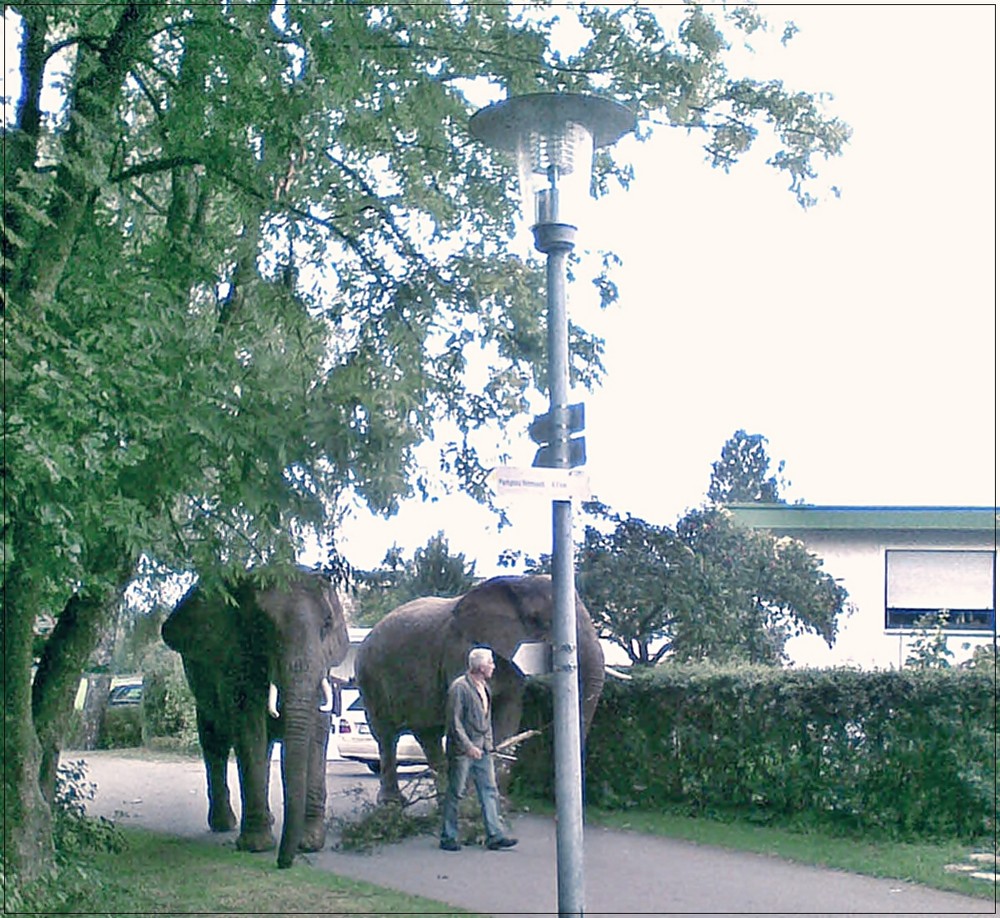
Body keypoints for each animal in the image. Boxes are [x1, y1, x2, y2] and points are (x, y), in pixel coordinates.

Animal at [162, 560, 350, 868]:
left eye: (326, 625)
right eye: (263, 629)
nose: (284, 864)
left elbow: (317, 734)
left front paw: (311, 843)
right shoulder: (239, 660)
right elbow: (249, 729)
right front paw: (256, 846)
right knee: (215, 743)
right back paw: (224, 824)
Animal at [354, 576, 600, 804]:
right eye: (540, 620)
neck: (516, 583)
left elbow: (508, 715)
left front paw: (494, 802)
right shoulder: (462, 650)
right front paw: (473, 802)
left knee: (428, 734)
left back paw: (443, 800)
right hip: (369, 677)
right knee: (386, 735)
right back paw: (393, 803)